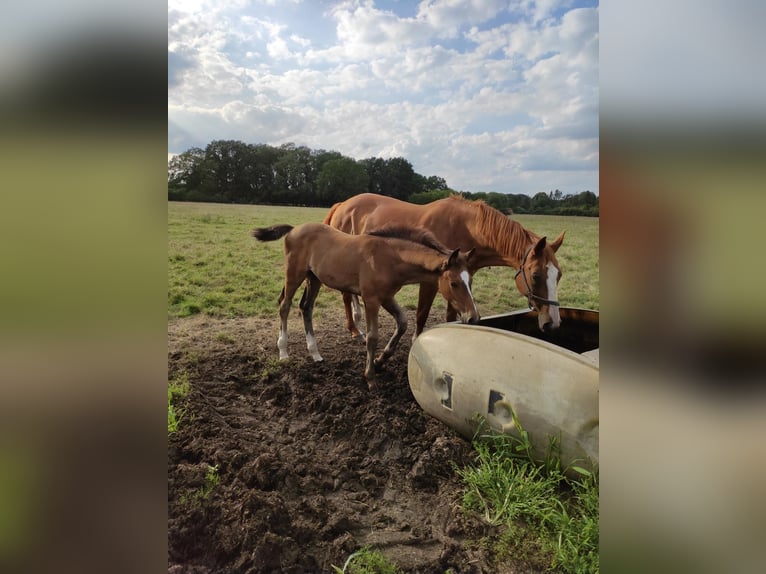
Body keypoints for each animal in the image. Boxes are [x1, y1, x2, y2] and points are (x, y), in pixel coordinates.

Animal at [252, 223, 480, 390]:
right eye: (454, 283)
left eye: (470, 281)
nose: (473, 317)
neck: (390, 258)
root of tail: (293, 229)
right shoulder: (371, 300)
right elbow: (372, 337)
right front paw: (370, 377)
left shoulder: (386, 297)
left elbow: (403, 323)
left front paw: (380, 361)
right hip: (294, 274)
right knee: (285, 306)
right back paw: (283, 352)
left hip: (314, 278)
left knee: (306, 307)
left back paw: (315, 353)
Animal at [328, 195, 568, 338]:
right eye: (536, 275)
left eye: (559, 276)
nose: (554, 323)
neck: (467, 228)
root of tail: (342, 205)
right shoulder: (430, 281)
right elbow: (421, 315)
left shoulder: (460, 282)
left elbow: (453, 316)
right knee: (346, 296)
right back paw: (354, 329)